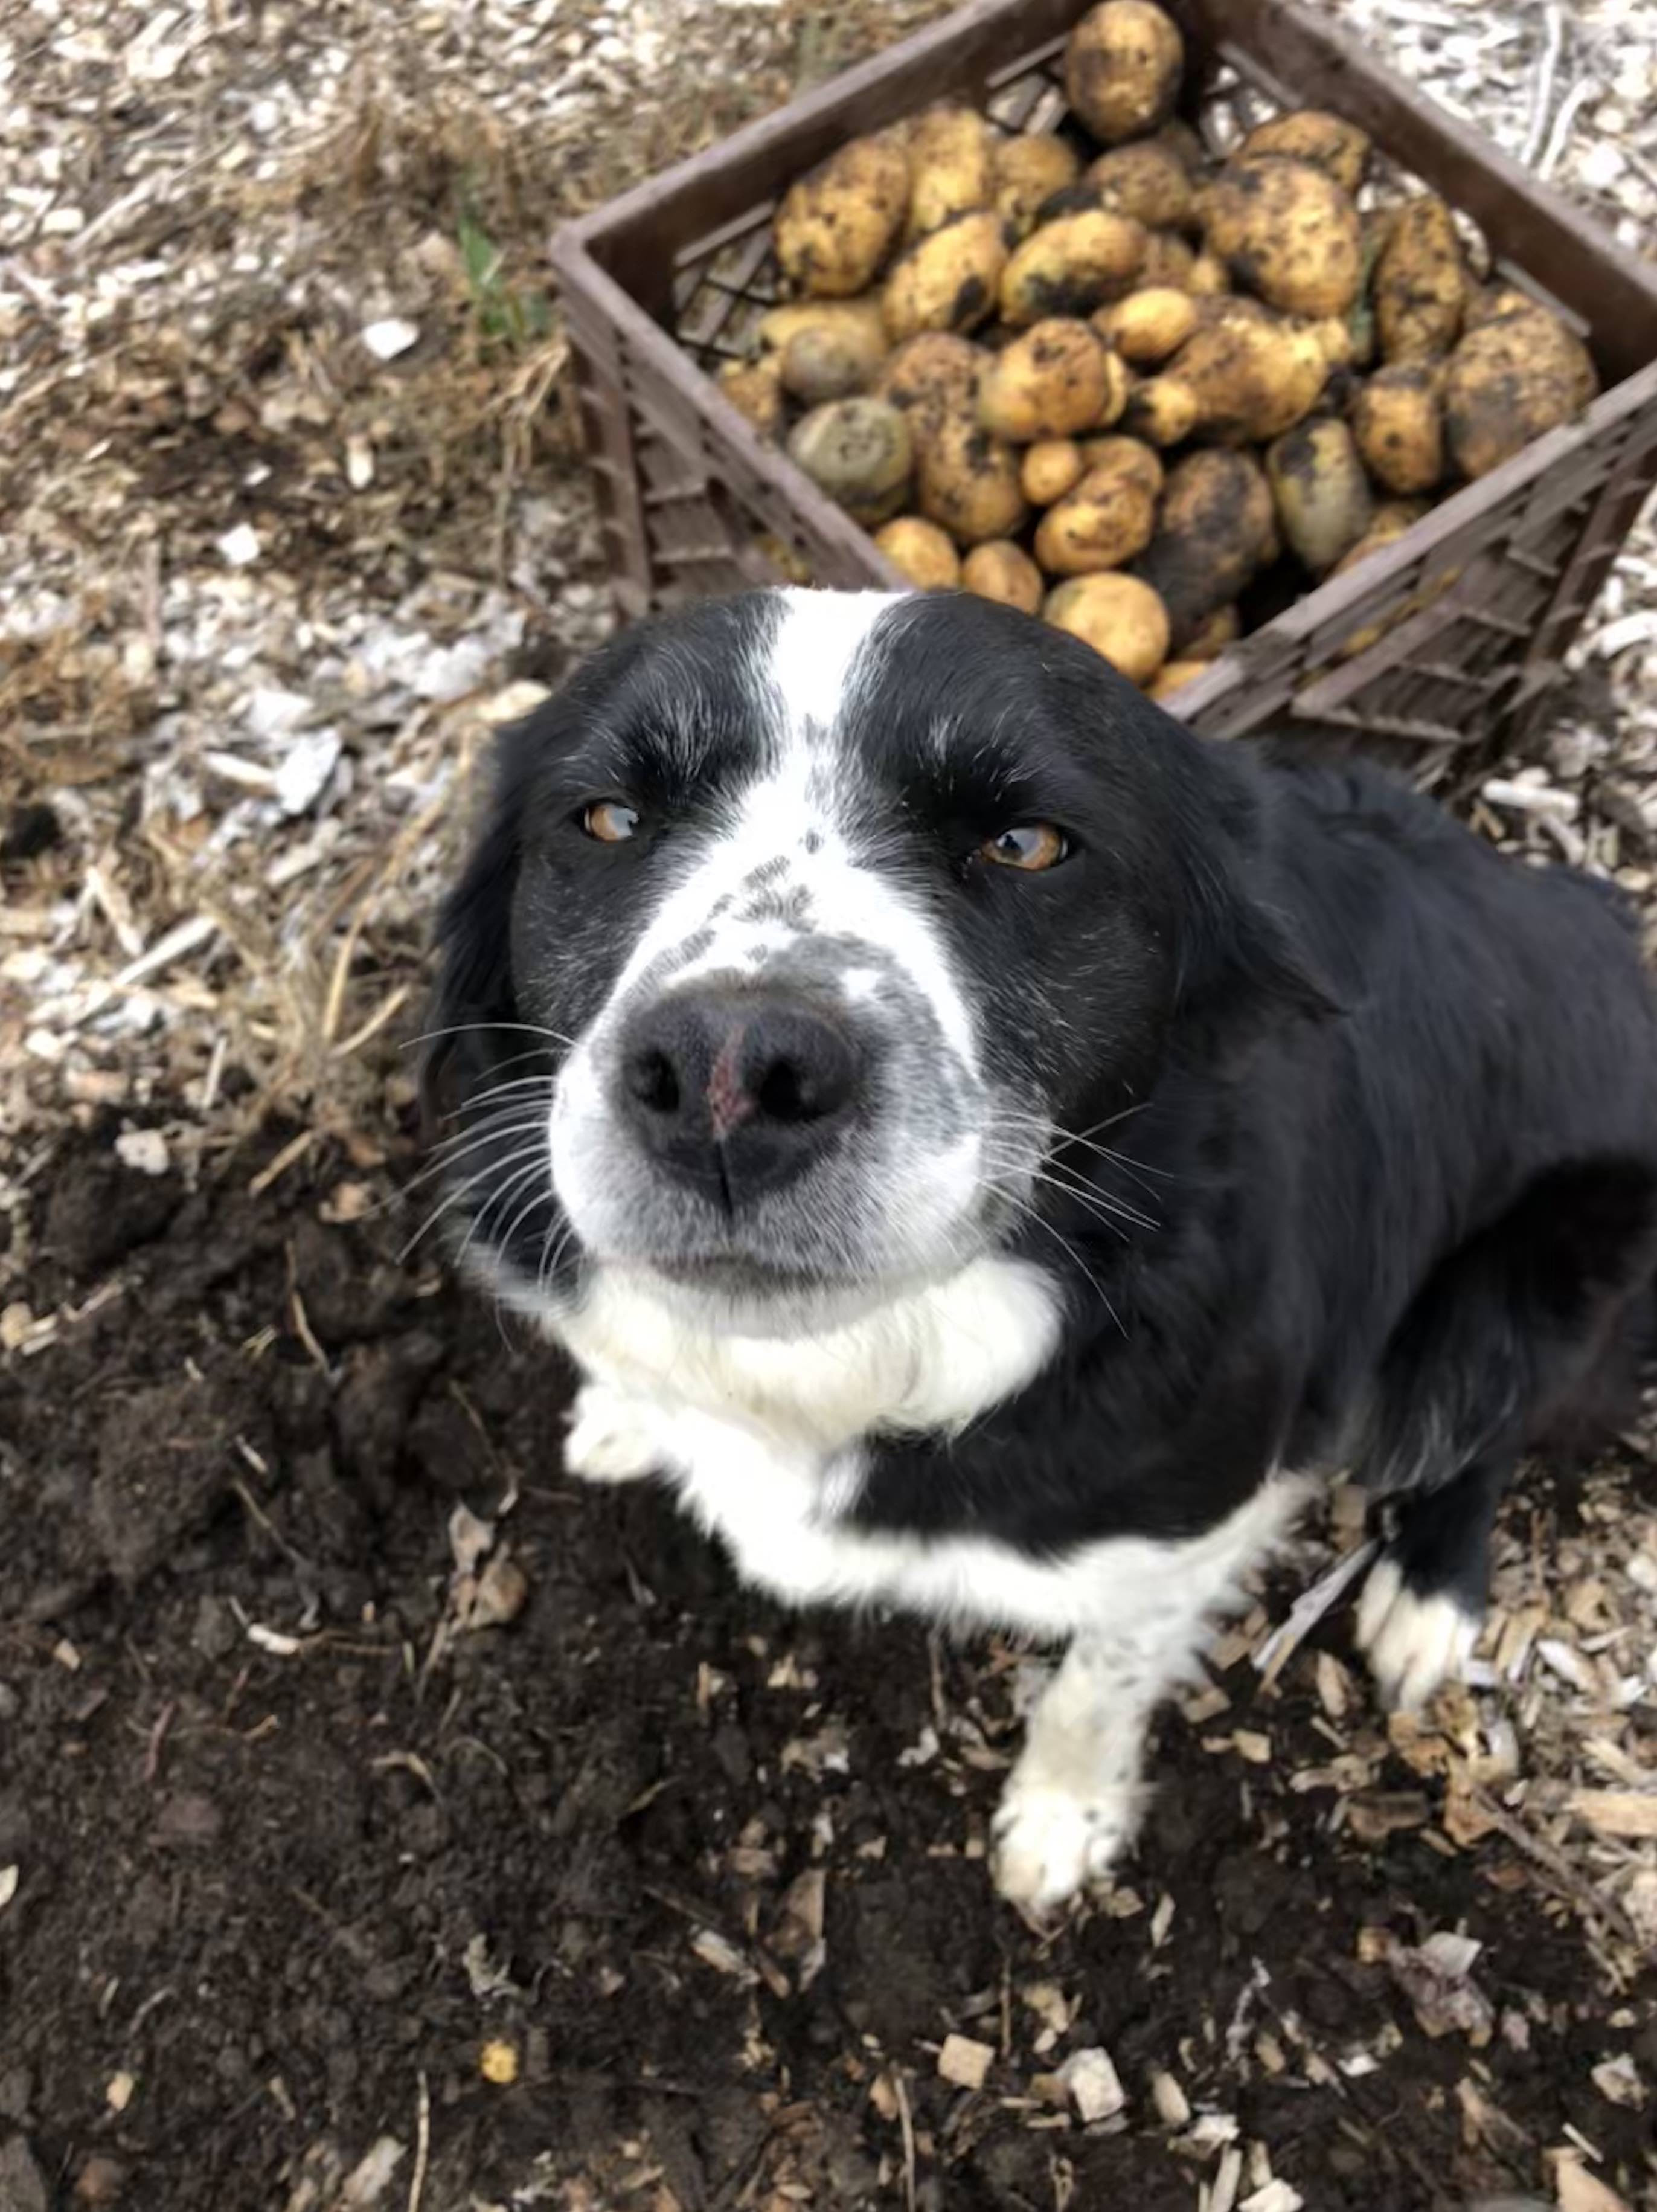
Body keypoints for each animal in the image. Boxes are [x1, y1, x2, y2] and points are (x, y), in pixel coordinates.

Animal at [422, 586, 1657, 1912]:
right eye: (606, 818)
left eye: (1025, 845)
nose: (727, 1073)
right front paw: (623, 1412)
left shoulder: (1191, 1514)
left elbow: (1097, 1678)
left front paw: (1061, 1820)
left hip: (1523, 1289)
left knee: (1494, 1428)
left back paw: (1425, 1597)